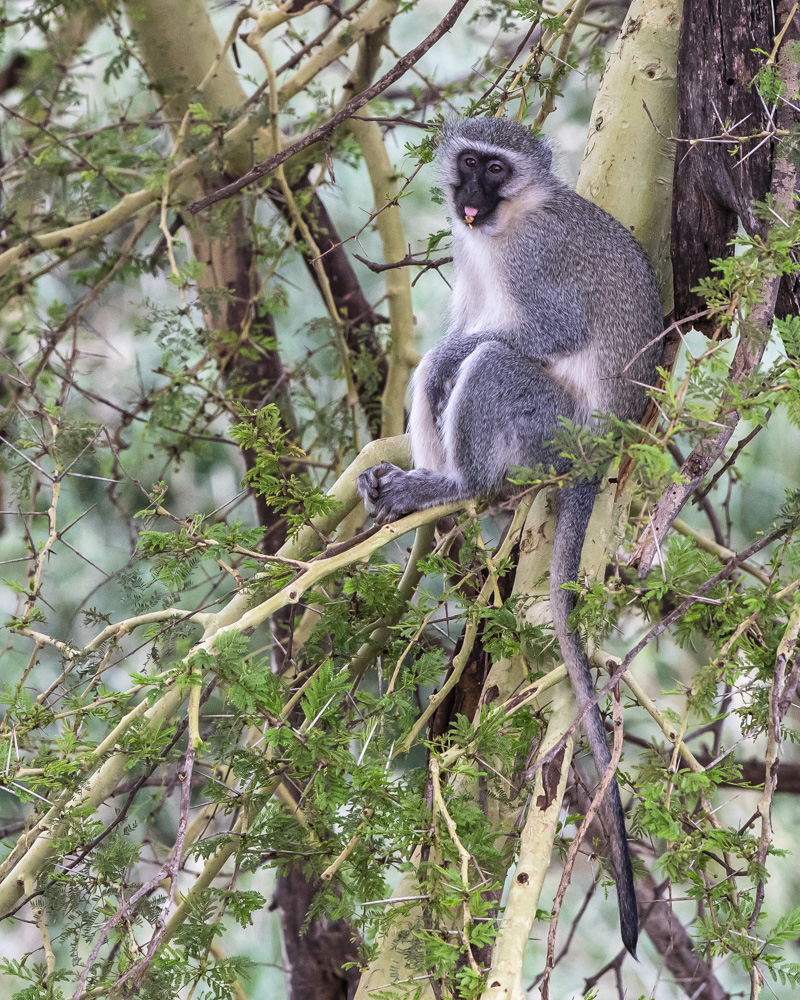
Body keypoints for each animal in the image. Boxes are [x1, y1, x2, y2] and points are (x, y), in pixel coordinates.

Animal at [356, 117, 664, 952]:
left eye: (496, 169)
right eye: (469, 162)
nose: (468, 194)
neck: (503, 226)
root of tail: (600, 450)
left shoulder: (534, 258)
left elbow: (535, 331)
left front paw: (457, 360)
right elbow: (456, 332)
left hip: (547, 432)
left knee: (490, 361)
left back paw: (458, 486)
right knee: (440, 371)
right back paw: (419, 484)